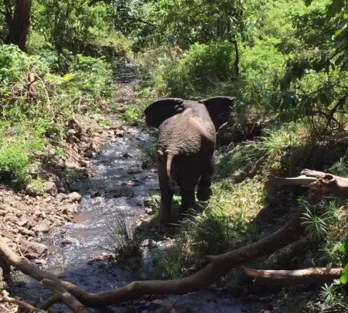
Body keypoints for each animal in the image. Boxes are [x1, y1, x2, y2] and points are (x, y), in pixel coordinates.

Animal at [144, 94, 237, 222]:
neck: (190, 105)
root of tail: (172, 148)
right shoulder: (207, 150)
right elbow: (210, 166)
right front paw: (205, 198)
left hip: (161, 158)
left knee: (165, 189)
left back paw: (166, 221)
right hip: (189, 158)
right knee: (187, 187)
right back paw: (189, 216)